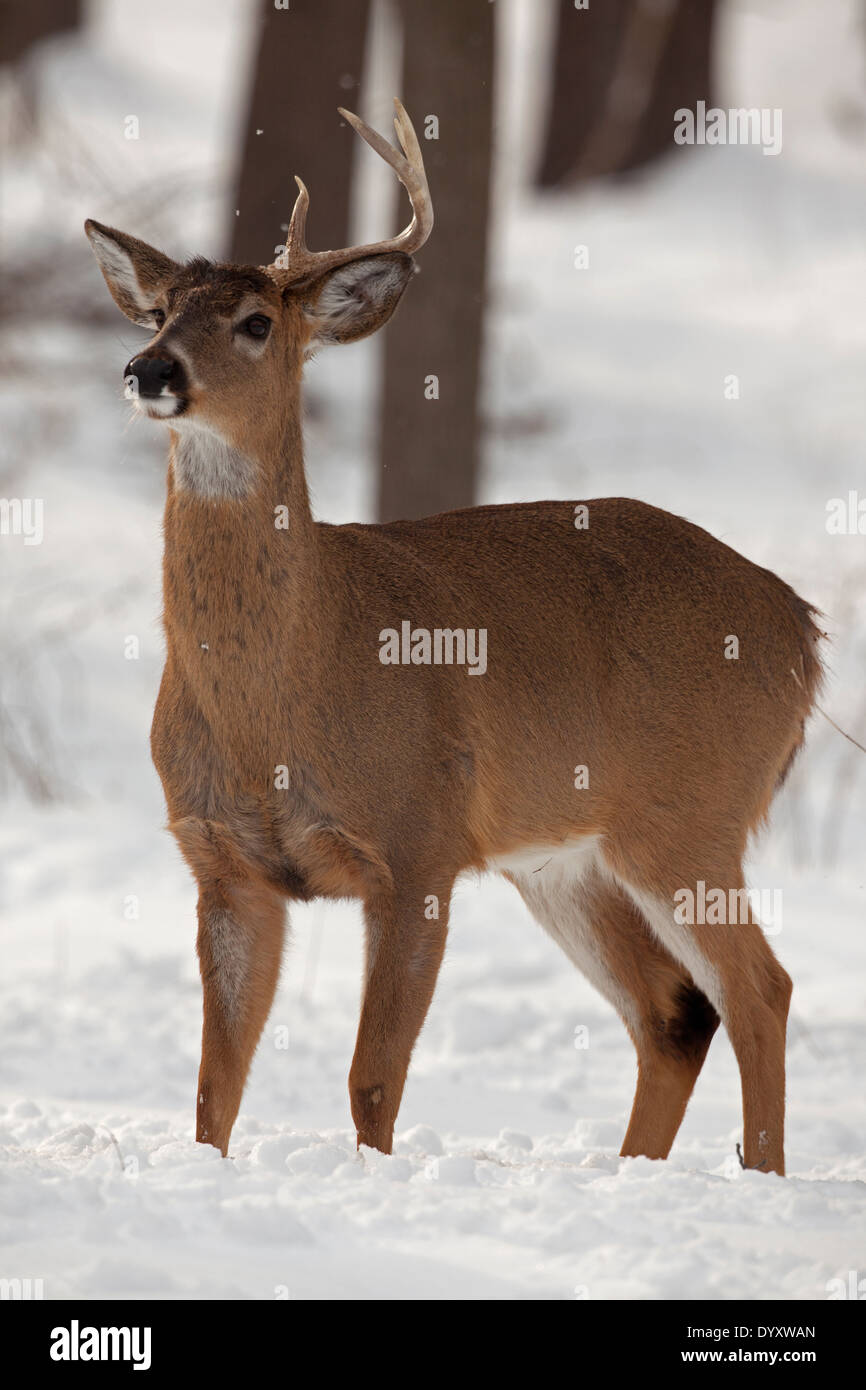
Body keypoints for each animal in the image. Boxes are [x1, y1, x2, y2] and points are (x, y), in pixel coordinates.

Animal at [85, 99, 822, 1177]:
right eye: (158, 313)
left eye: (256, 321)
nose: (149, 371)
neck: (284, 696)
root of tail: (803, 629)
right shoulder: (223, 862)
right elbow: (214, 1088)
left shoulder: (419, 841)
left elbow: (372, 1076)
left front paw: (373, 1180)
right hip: (563, 858)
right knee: (674, 1010)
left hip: (691, 813)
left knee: (759, 987)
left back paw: (757, 1176)